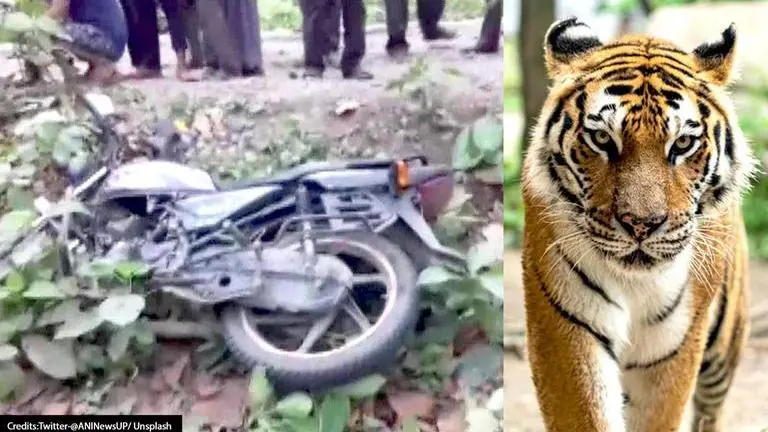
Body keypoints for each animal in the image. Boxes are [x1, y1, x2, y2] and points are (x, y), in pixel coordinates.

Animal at [520, 18, 757, 432]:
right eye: (602, 138)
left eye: (683, 144)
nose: (641, 225)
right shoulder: (568, 325)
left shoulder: (673, 346)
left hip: (724, 346)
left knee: (709, 411)